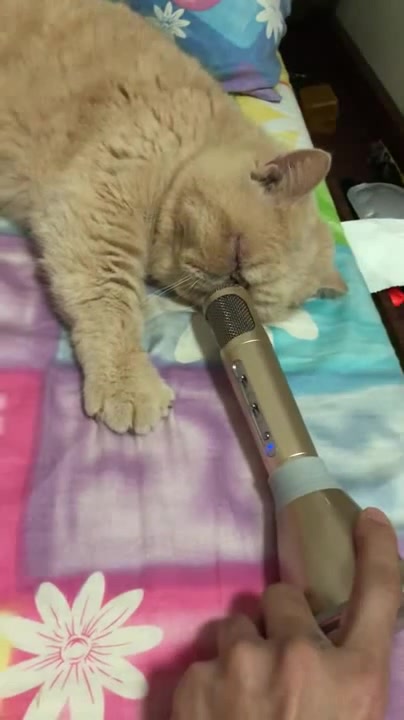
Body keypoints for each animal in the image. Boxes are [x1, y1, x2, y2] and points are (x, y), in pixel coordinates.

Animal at [0, 0, 347, 435]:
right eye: (237, 253)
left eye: (247, 292)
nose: (226, 282)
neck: (195, 138)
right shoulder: (100, 203)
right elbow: (110, 300)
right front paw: (128, 383)